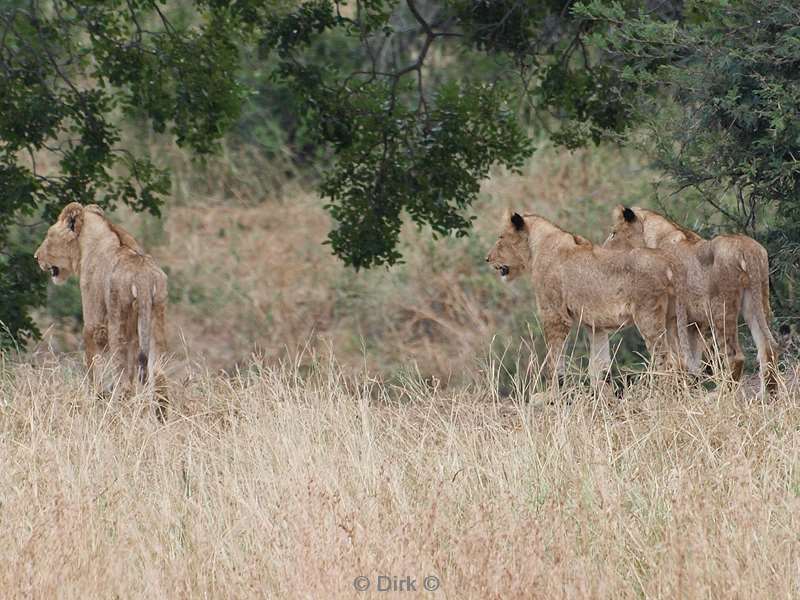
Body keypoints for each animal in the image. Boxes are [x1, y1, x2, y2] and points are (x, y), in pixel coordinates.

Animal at [34, 202, 169, 418]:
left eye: (49, 235)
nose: (36, 257)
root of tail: (143, 279)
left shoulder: (93, 323)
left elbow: (93, 366)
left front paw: (94, 398)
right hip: (157, 316)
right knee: (159, 377)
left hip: (117, 321)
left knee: (124, 382)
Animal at [484, 211, 692, 390]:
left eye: (501, 237)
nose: (487, 258)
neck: (538, 247)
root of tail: (669, 261)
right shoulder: (595, 325)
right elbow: (599, 369)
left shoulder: (555, 316)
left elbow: (554, 363)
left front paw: (554, 396)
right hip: (673, 319)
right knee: (682, 360)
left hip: (648, 316)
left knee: (666, 362)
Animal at [604, 204, 780, 396]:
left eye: (613, 233)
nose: (603, 250)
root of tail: (746, 248)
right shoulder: (694, 323)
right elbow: (693, 362)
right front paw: (693, 391)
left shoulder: (673, 318)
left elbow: (678, 359)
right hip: (757, 301)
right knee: (767, 349)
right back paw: (766, 396)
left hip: (720, 308)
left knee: (735, 356)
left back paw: (720, 395)